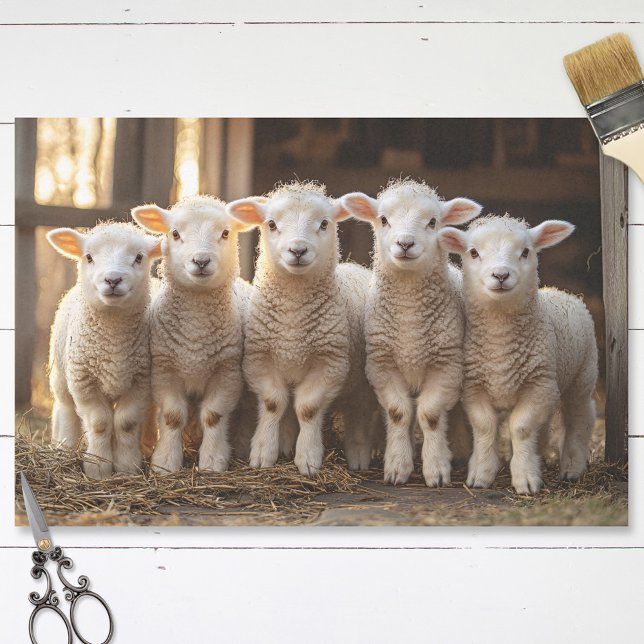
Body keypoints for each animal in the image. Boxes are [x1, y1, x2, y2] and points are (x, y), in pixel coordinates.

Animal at [47, 222, 162, 479]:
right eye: (89, 257)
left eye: (139, 257)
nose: (112, 279)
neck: (113, 342)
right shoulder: (84, 381)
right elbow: (100, 423)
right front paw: (98, 467)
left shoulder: (141, 380)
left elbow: (126, 422)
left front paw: (127, 466)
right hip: (61, 375)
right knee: (65, 409)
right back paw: (63, 447)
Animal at [132, 195, 253, 473]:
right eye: (175, 233)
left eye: (225, 232)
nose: (201, 261)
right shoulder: (165, 369)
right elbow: (173, 416)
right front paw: (165, 462)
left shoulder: (227, 371)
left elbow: (213, 415)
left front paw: (213, 461)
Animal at [226, 181, 377, 477]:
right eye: (271, 224)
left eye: (324, 223)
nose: (297, 250)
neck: (293, 323)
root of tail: (355, 266)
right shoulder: (259, 359)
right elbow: (274, 403)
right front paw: (264, 453)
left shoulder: (330, 364)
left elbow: (308, 408)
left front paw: (307, 458)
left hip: (361, 382)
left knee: (359, 414)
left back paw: (358, 455)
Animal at [342, 179, 482, 486]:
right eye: (383, 219)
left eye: (432, 222)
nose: (405, 244)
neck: (410, 323)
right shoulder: (382, 366)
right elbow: (399, 413)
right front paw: (397, 467)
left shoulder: (446, 367)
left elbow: (430, 415)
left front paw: (437, 469)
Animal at [438, 215, 598, 494]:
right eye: (473, 252)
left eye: (525, 252)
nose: (501, 275)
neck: (500, 344)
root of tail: (561, 291)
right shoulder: (474, 387)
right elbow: (486, 426)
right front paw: (481, 474)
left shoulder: (537, 386)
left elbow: (520, 427)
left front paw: (525, 478)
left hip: (583, 374)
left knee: (581, 416)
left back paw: (572, 467)